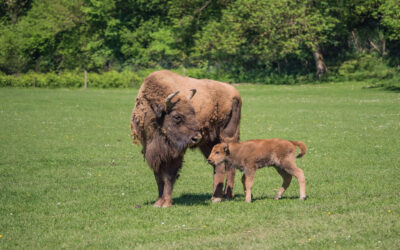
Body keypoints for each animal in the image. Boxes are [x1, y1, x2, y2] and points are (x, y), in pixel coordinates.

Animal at [131, 70, 242, 207]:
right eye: (177, 116)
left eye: (193, 112)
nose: (196, 137)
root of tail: (235, 93)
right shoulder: (153, 152)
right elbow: (158, 177)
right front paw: (158, 202)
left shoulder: (175, 154)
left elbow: (169, 175)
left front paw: (166, 203)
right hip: (209, 143)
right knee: (218, 165)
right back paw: (216, 197)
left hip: (228, 137)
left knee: (229, 165)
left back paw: (226, 196)